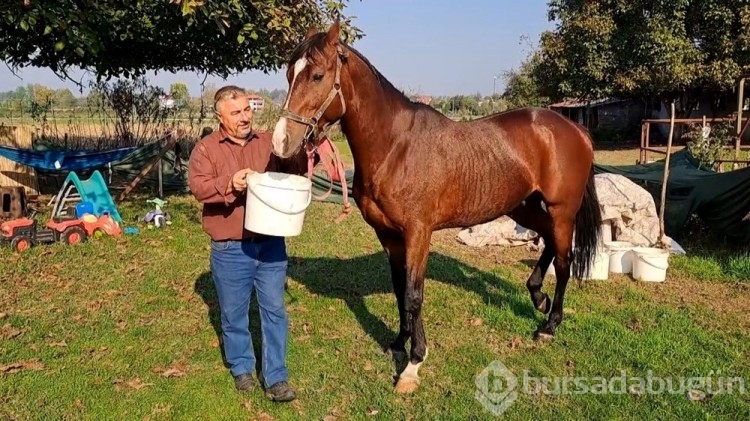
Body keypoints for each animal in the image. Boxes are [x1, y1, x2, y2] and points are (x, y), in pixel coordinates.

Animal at [270, 23, 604, 392]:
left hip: (561, 210)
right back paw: (537, 297)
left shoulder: (418, 233)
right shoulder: (388, 235)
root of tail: (576, 129)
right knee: (548, 242)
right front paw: (398, 343)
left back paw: (549, 325)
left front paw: (413, 363)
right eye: (289, 74)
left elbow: (414, 295)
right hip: (523, 206)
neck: (395, 147)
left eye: (317, 75)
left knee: (564, 261)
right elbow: (400, 290)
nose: (282, 141)